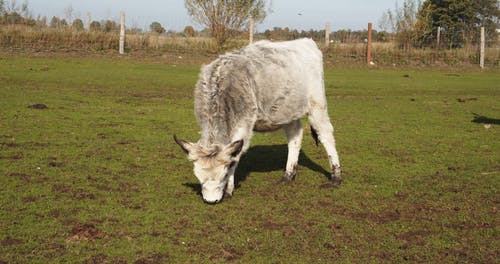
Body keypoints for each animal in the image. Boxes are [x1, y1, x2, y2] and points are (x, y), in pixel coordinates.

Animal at [174, 37, 342, 204]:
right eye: (198, 176)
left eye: (224, 174)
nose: (210, 201)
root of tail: (306, 41)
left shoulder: (243, 125)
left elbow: (236, 156)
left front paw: (228, 190)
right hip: (288, 111)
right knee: (295, 137)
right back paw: (288, 175)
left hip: (317, 104)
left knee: (326, 134)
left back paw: (336, 176)